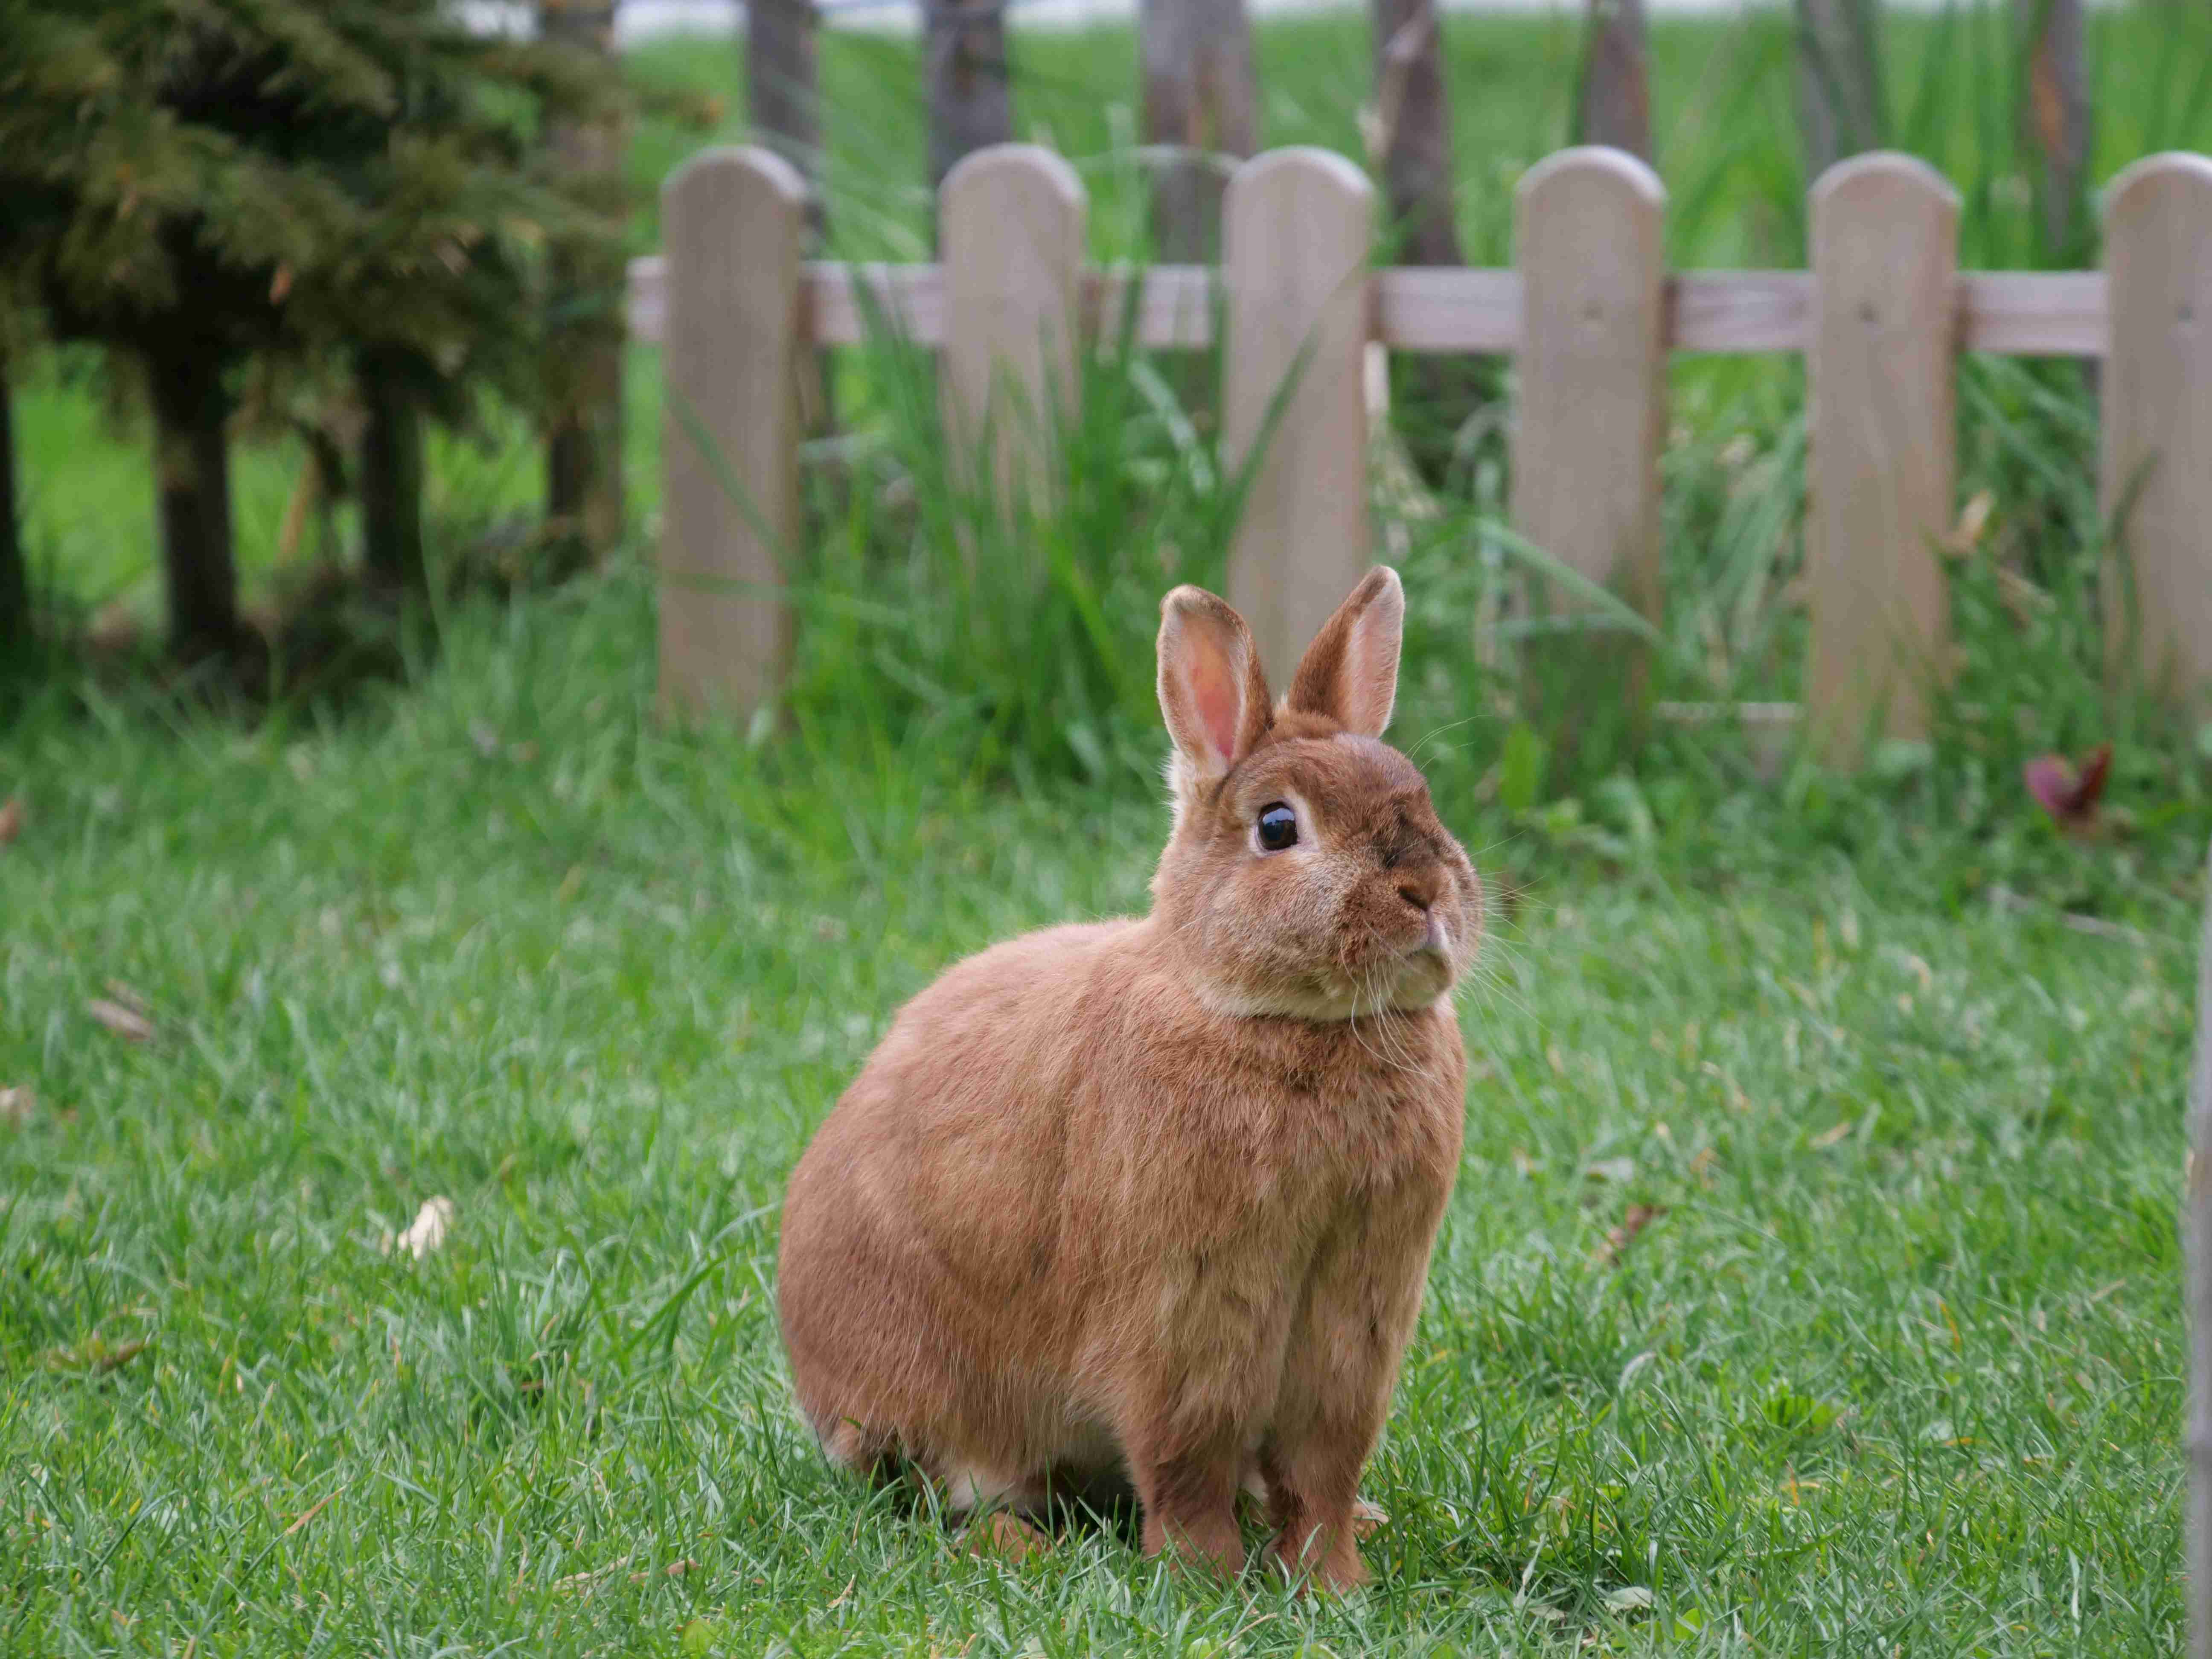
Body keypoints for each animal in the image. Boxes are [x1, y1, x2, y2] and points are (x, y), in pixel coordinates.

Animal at [770, 570, 1477, 1601]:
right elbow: (1187, 1462)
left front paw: (1332, 1580)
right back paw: (1022, 1547)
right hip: (937, 1396)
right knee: (947, 1493)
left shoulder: (1356, 1325)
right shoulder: (1185, 1320)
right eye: (1278, 827)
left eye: (1420, 796)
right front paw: (1207, 1579)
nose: (1427, 890)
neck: (1280, 1019)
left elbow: (1321, 1471)